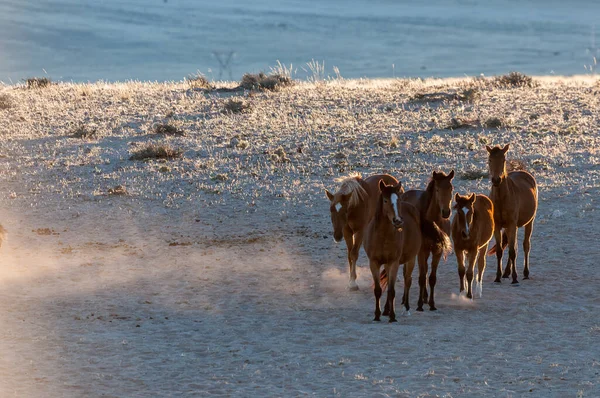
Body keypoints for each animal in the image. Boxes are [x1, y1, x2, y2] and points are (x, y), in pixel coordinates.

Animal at [400, 169, 452, 310]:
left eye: (451, 188)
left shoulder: (437, 251)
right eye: (437, 189)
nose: (446, 212)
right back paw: (405, 299)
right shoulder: (421, 251)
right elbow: (422, 277)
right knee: (407, 272)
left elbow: (432, 277)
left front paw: (432, 303)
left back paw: (425, 297)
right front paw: (419, 305)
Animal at [488, 145, 540, 284]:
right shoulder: (498, 226)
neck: (501, 199)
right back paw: (506, 272)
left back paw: (525, 273)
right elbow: (500, 251)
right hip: (510, 227)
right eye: (489, 160)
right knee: (513, 246)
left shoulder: (512, 224)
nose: (496, 180)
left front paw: (515, 278)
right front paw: (498, 277)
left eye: (503, 160)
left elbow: (513, 252)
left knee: (525, 245)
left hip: (529, 222)